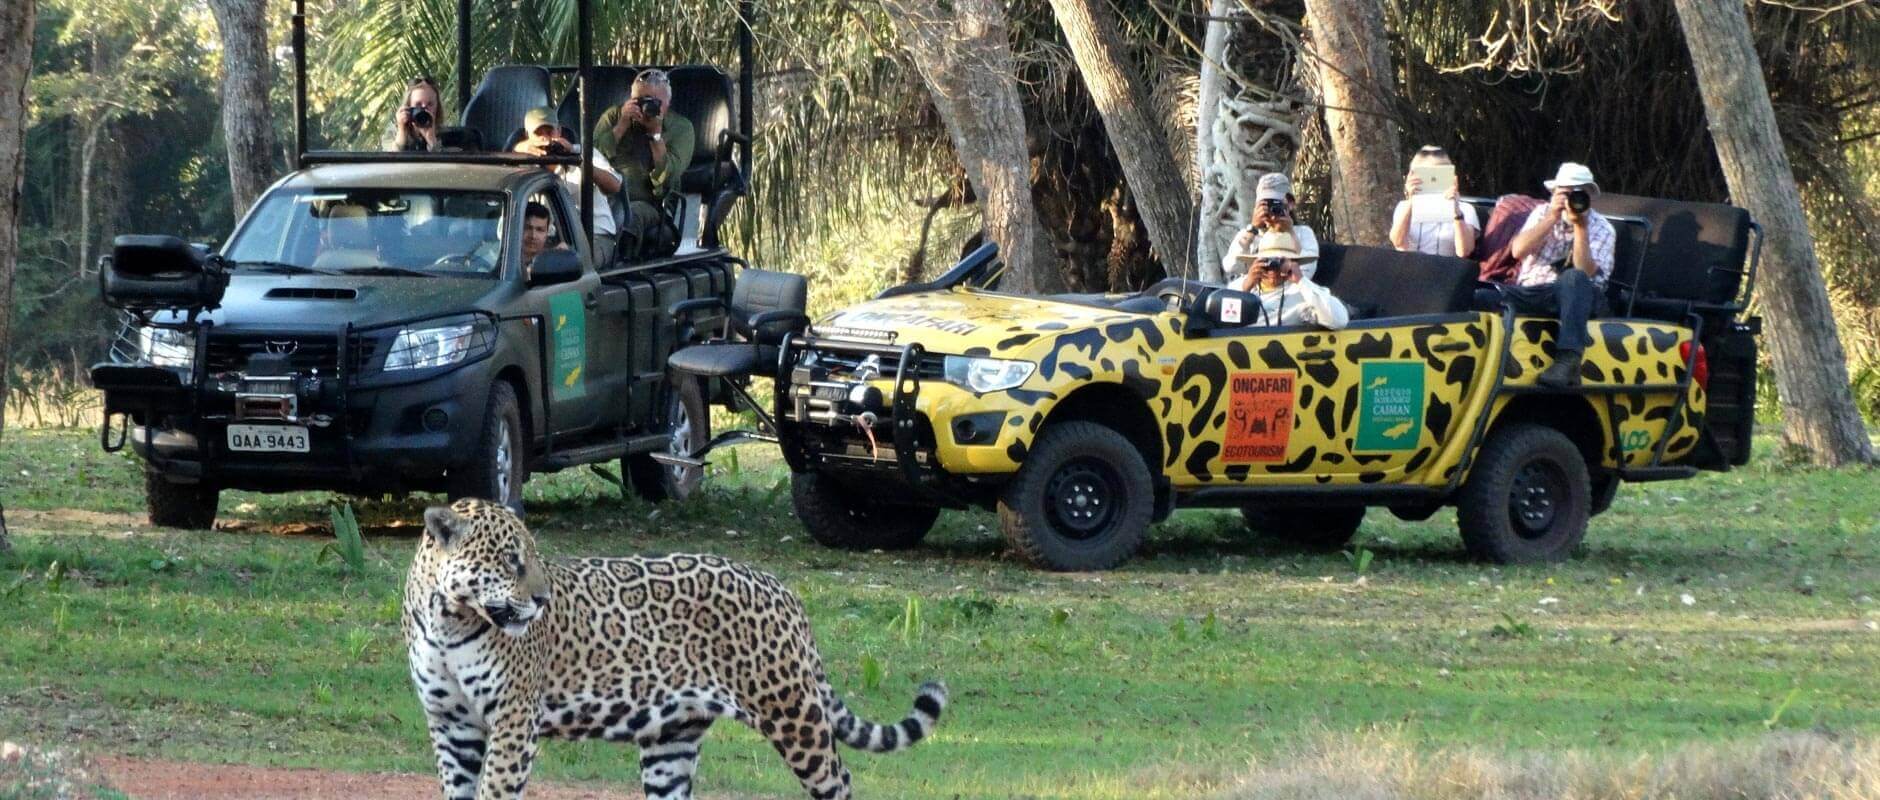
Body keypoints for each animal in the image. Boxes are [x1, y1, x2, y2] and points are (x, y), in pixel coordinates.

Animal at [402, 498, 948, 800]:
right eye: (511, 560)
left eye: (533, 558)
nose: (542, 599)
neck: (448, 621)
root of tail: (782, 588)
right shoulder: (450, 722)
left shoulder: (514, 718)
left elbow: (496, 788)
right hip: (673, 737)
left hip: (793, 713)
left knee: (840, 782)